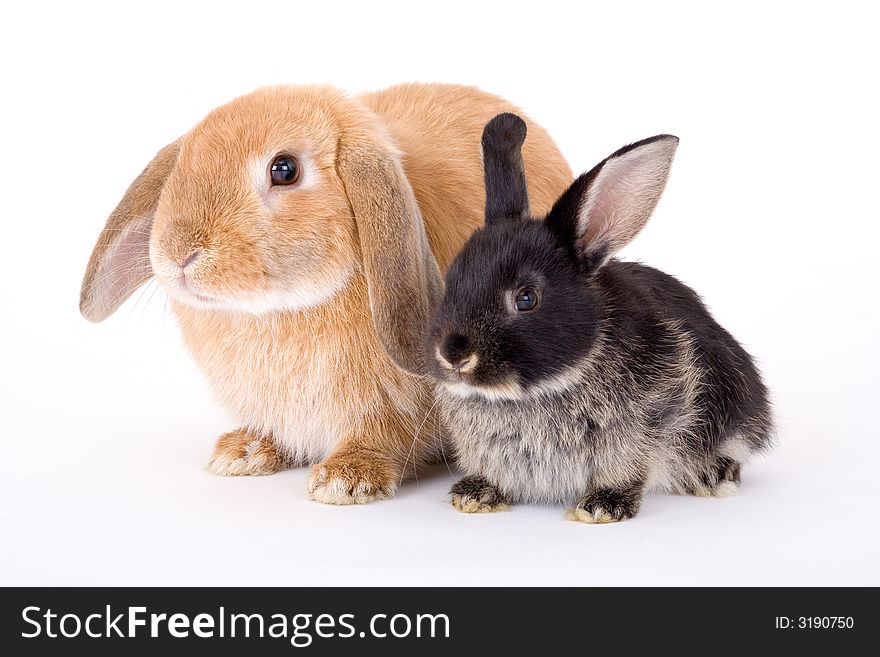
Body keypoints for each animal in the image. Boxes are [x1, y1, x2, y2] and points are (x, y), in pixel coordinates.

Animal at [422, 114, 772, 524]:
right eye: (451, 281)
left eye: (526, 298)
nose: (453, 355)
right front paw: (474, 495)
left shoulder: (640, 429)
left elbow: (624, 469)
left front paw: (602, 507)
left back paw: (713, 477)